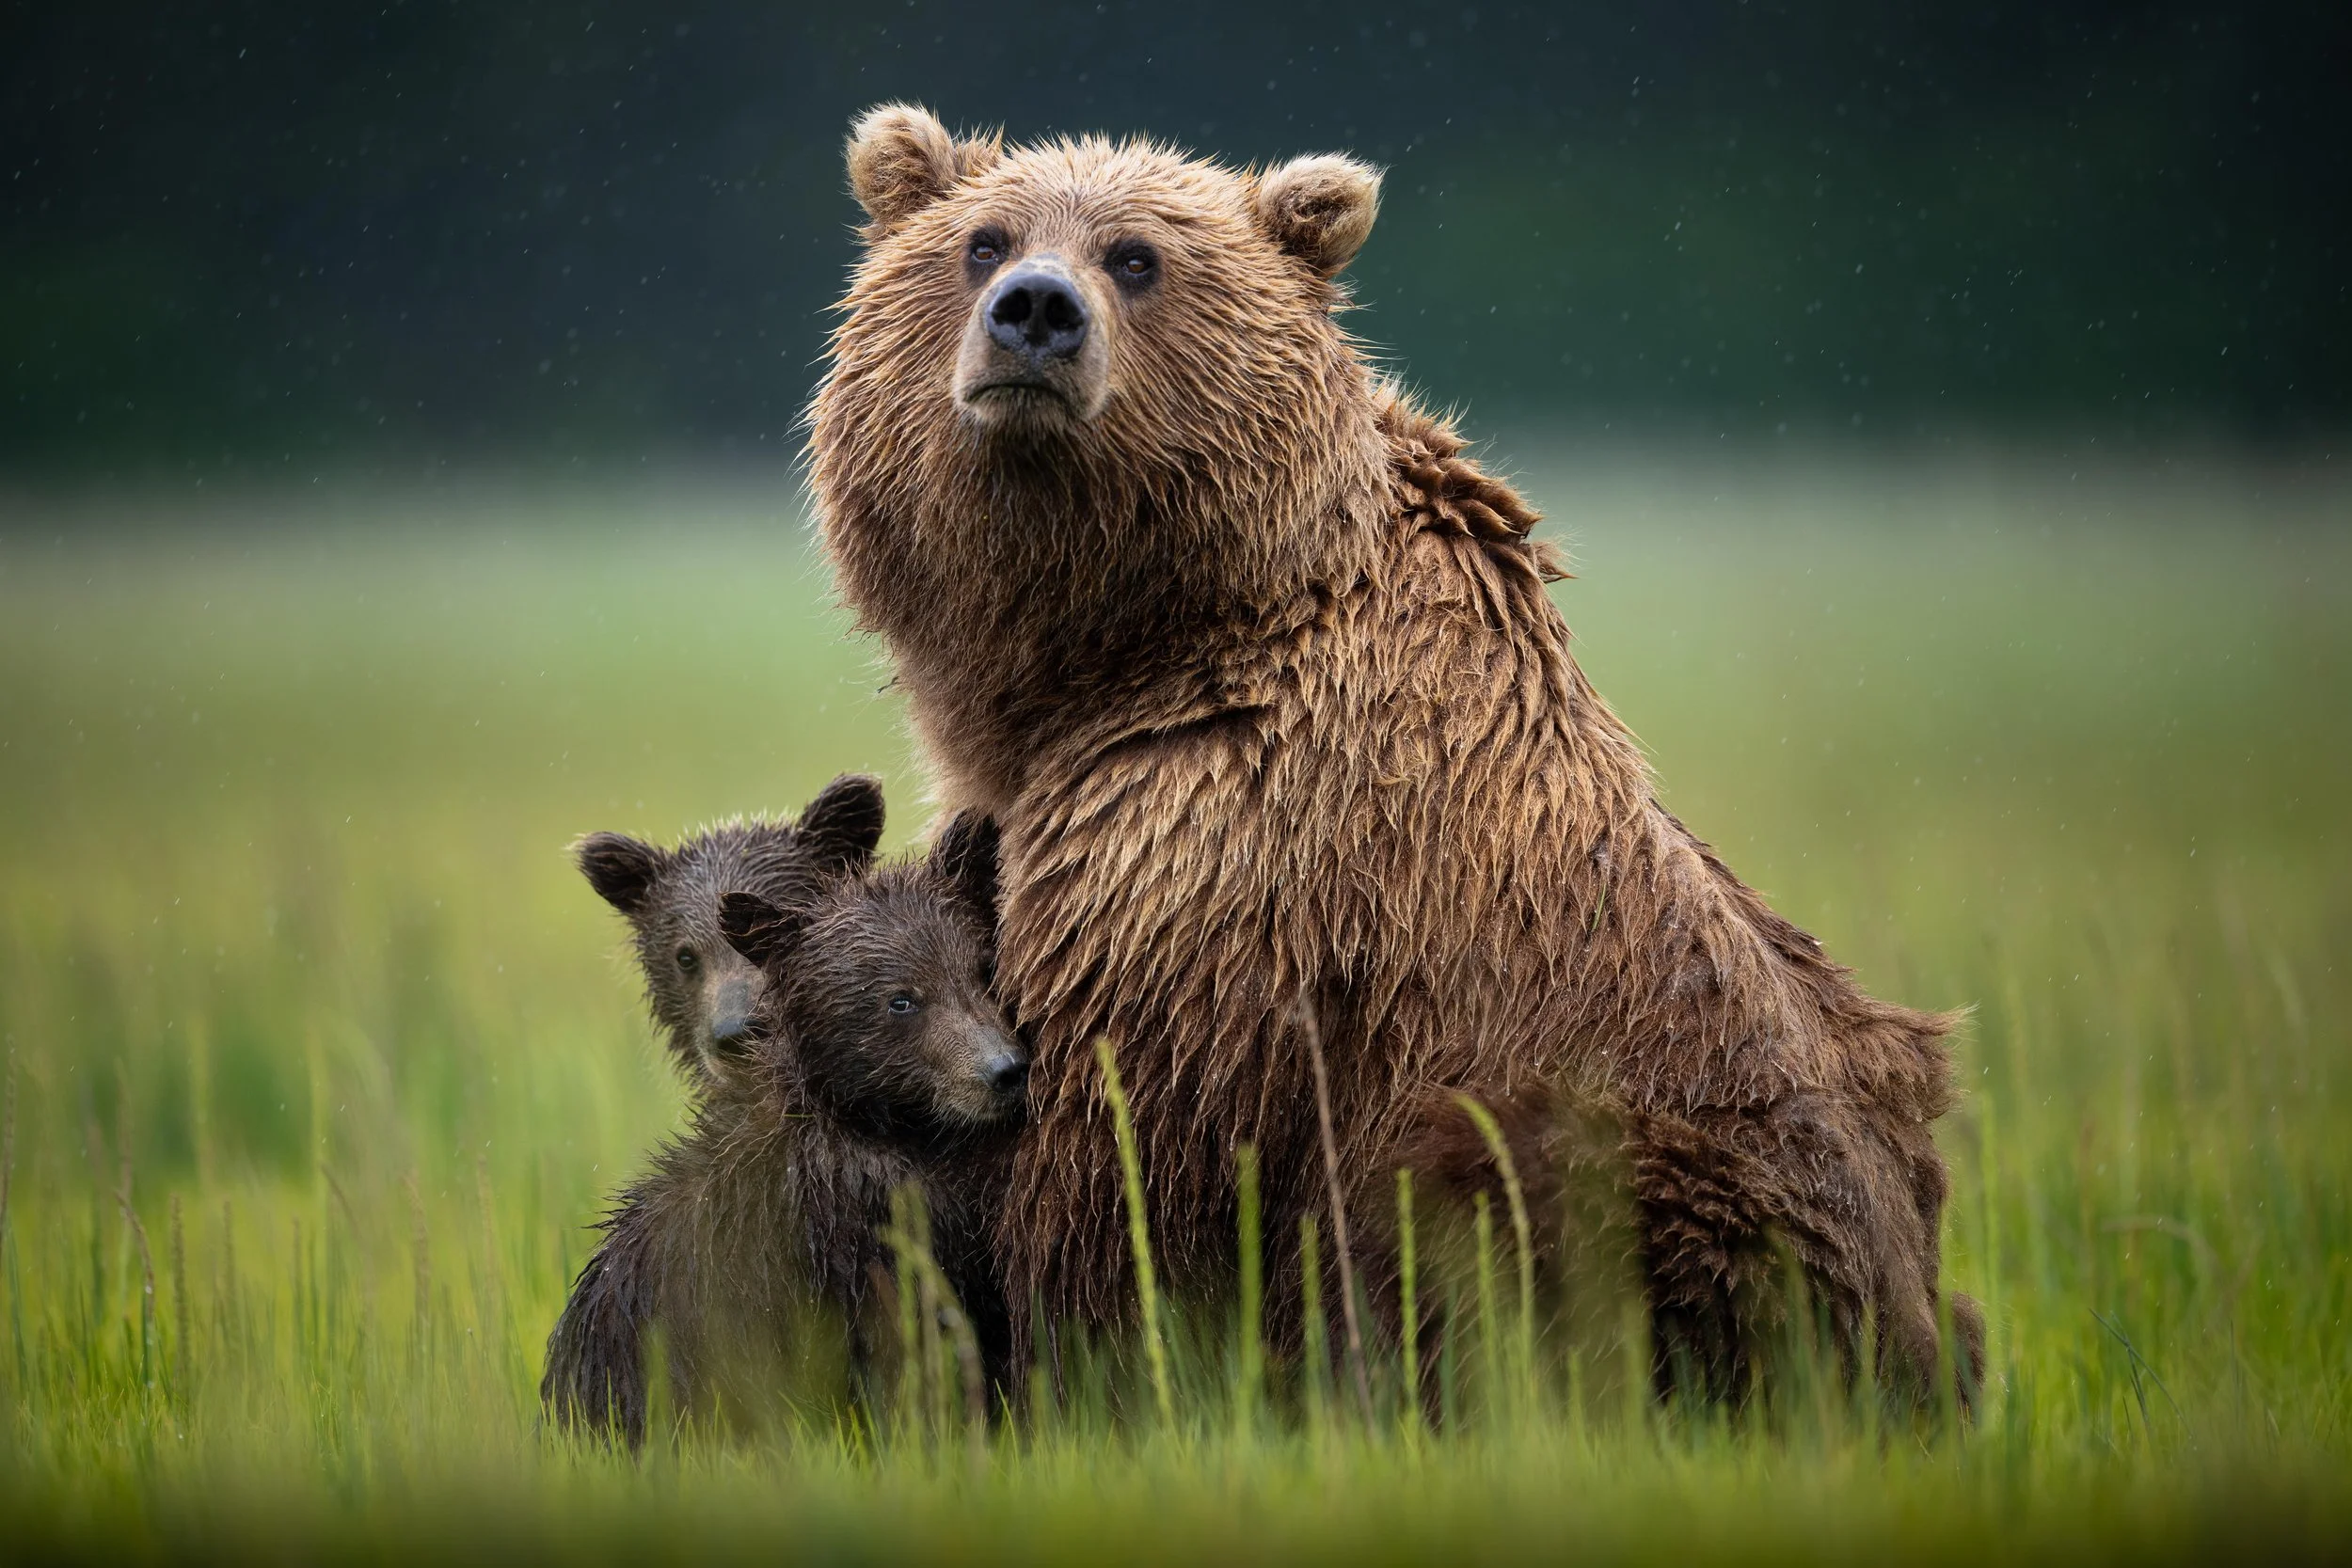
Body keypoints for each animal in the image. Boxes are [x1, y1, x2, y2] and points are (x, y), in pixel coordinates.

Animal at [806, 104, 1982, 1407]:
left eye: (1134, 257)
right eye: (985, 239)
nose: (1035, 310)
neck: (1131, 647)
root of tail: (1906, 1356)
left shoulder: (1214, 848)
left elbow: (1112, 1163)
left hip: (1680, 1182)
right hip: (1880, 1081)